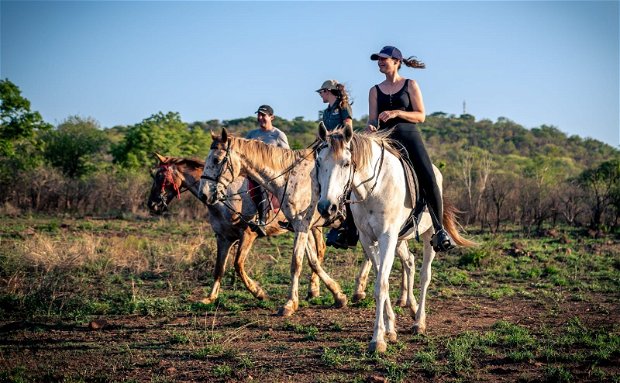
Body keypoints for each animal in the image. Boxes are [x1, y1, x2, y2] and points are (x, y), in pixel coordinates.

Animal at [147, 154, 326, 306]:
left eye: (160, 177)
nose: (152, 205)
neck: (223, 198)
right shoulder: (223, 238)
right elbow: (219, 268)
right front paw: (210, 297)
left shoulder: (248, 235)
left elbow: (238, 265)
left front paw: (259, 292)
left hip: (312, 226)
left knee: (319, 251)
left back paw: (313, 290)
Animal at [201, 130, 352, 316]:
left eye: (216, 160)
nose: (203, 194)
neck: (291, 179)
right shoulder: (300, 227)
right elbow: (313, 262)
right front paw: (338, 295)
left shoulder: (301, 226)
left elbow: (296, 263)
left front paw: (289, 303)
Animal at [314, 124, 474, 354]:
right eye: (318, 162)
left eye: (346, 163)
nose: (327, 207)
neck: (372, 190)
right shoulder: (368, 239)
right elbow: (383, 279)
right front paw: (390, 329)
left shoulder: (387, 237)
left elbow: (381, 284)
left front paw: (378, 339)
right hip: (400, 239)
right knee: (410, 262)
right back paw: (411, 307)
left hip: (428, 236)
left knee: (425, 275)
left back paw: (419, 322)